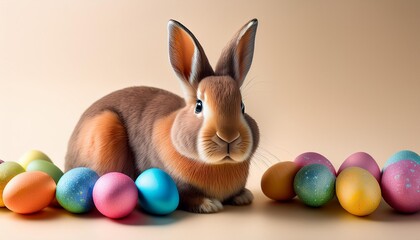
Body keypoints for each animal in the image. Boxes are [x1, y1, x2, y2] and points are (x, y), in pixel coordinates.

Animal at [65, 19, 260, 214]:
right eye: (198, 106)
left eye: (242, 107)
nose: (228, 137)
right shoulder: (177, 186)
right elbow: (186, 197)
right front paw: (209, 204)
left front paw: (243, 196)